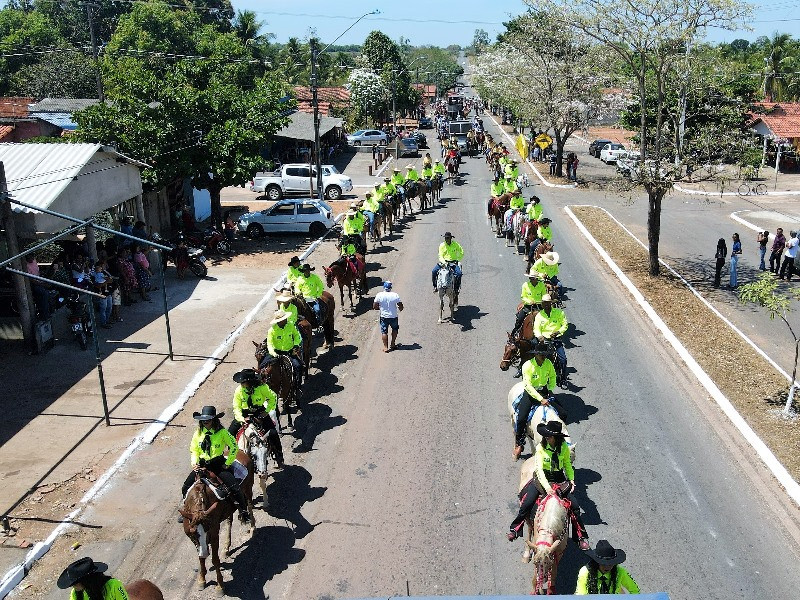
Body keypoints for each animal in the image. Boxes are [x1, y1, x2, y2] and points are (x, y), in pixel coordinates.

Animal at [180, 450, 255, 592]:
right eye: (193, 532)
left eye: (208, 529)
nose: (205, 552)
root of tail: (242, 452)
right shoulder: (195, 540)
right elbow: (200, 557)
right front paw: (201, 580)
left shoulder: (214, 533)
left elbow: (215, 559)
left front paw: (220, 586)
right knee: (229, 521)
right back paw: (226, 548)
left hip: (248, 489)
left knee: (249, 505)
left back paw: (252, 527)